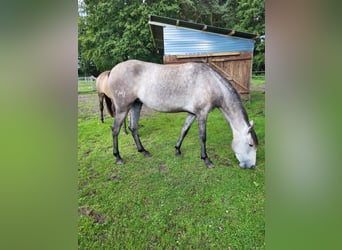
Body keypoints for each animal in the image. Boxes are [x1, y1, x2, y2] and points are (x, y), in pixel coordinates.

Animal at [107, 59, 260, 169]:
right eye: (250, 145)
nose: (251, 166)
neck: (211, 83)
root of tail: (112, 71)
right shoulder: (202, 113)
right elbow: (203, 137)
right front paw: (206, 160)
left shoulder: (192, 113)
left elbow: (184, 130)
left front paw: (177, 150)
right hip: (122, 108)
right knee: (115, 130)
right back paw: (118, 157)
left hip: (136, 104)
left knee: (133, 128)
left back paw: (143, 151)